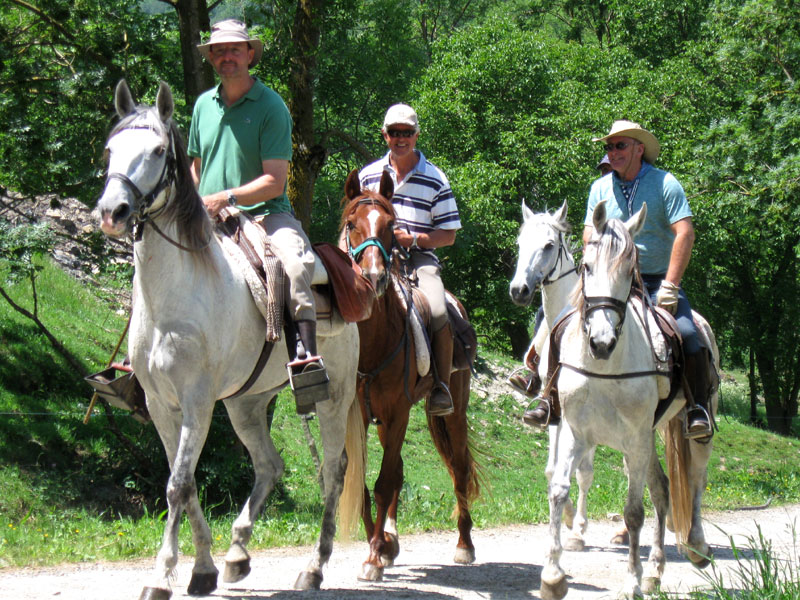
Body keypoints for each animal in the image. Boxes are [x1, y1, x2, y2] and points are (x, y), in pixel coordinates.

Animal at [95, 80, 365, 599]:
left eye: (157, 150)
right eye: (110, 149)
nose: (112, 211)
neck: (175, 293)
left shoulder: (198, 401)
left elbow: (178, 485)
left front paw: (162, 576)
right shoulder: (162, 404)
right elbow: (184, 483)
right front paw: (202, 569)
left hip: (334, 397)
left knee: (334, 470)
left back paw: (314, 567)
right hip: (246, 404)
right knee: (270, 466)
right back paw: (238, 554)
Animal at [340, 169, 480, 582]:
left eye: (391, 226)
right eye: (351, 223)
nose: (372, 276)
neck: (374, 343)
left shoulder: (398, 413)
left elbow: (384, 483)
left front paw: (373, 557)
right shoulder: (359, 416)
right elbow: (365, 483)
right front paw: (381, 547)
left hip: (454, 412)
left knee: (459, 469)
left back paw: (464, 545)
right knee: (402, 471)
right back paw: (391, 539)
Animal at [539, 200, 716, 600]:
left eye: (627, 272)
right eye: (587, 267)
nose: (601, 342)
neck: (605, 367)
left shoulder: (634, 440)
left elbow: (634, 511)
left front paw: (631, 581)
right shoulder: (575, 432)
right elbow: (559, 490)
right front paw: (553, 574)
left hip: (690, 430)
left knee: (695, 480)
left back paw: (695, 547)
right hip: (648, 438)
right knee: (663, 489)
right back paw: (655, 570)